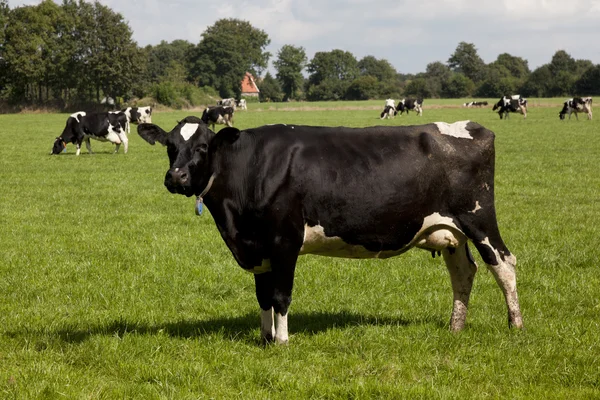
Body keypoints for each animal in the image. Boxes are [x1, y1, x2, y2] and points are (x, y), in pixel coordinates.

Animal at [138, 115, 524, 344]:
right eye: (170, 147)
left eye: (203, 147)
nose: (176, 177)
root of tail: (469, 125)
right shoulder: (257, 247)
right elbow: (263, 296)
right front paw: (264, 338)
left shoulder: (284, 240)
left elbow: (280, 296)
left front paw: (282, 342)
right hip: (450, 231)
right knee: (463, 272)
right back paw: (455, 328)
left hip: (479, 218)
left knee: (503, 264)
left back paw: (516, 326)